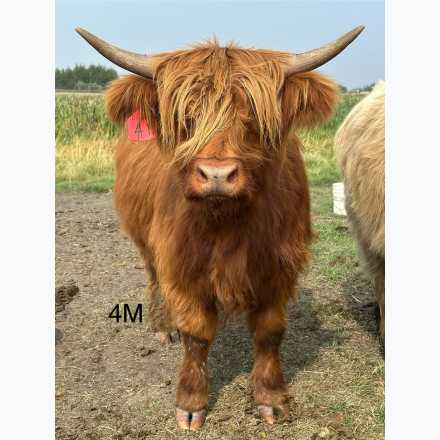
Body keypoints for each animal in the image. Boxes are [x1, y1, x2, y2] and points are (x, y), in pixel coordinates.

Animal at [76, 26, 364, 430]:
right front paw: (191, 404)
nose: (216, 175)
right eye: (185, 117)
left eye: (253, 116)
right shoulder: (183, 264)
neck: (228, 224)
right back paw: (163, 325)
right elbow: (196, 334)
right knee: (153, 277)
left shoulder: (279, 266)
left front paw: (271, 398)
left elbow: (270, 332)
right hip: (146, 244)